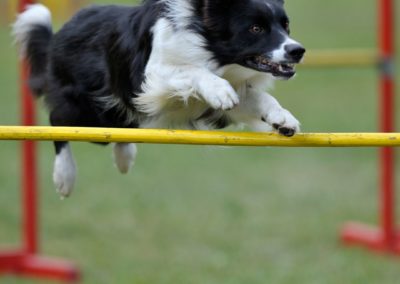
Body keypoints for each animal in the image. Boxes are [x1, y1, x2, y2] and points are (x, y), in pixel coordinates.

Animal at [13, 0, 306, 197]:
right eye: (256, 28)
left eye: (286, 24)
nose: (298, 50)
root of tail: (59, 35)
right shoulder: (151, 77)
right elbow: (193, 71)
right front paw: (218, 90)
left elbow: (258, 98)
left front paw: (283, 119)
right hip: (87, 111)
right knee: (58, 121)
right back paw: (65, 176)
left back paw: (125, 156)